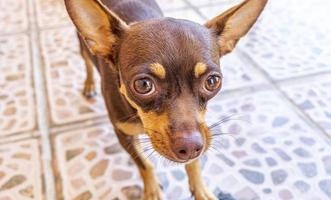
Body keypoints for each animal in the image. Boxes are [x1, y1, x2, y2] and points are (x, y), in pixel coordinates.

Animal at [64, 0, 268, 199]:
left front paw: (200, 189)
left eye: (212, 81)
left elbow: (194, 162)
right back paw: (89, 84)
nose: (190, 146)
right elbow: (145, 164)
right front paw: (152, 192)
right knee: (87, 63)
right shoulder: (123, 135)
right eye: (143, 85)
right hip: (83, 48)